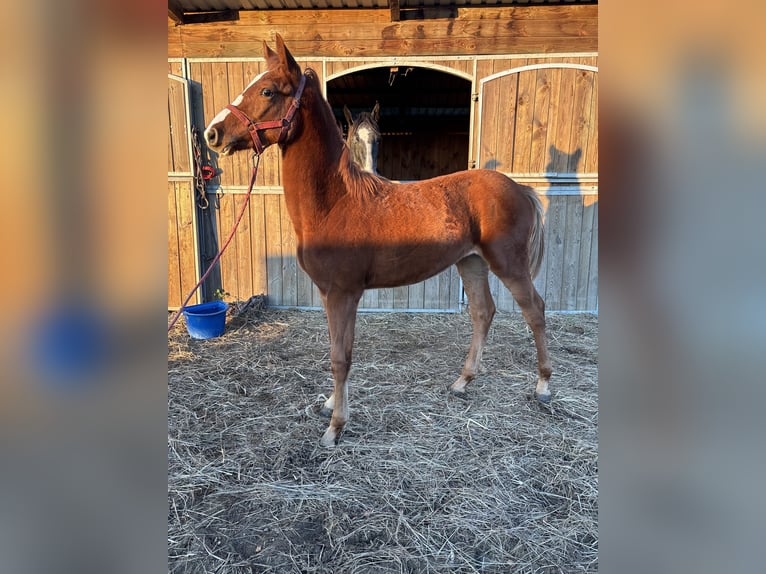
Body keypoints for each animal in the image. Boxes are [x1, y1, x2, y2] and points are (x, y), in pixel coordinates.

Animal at [204, 35, 552, 447]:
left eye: (267, 91)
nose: (212, 134)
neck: (335, 202)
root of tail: (519, 188)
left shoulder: (344, 292)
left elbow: (341, 357)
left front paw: (335, 426)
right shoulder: (328, 293)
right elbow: (336, 348)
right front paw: (330, 405)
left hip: (508, 263)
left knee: (535, 310)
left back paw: (543, 387)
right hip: (471, 261)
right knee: (483, 312)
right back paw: (462, 382)